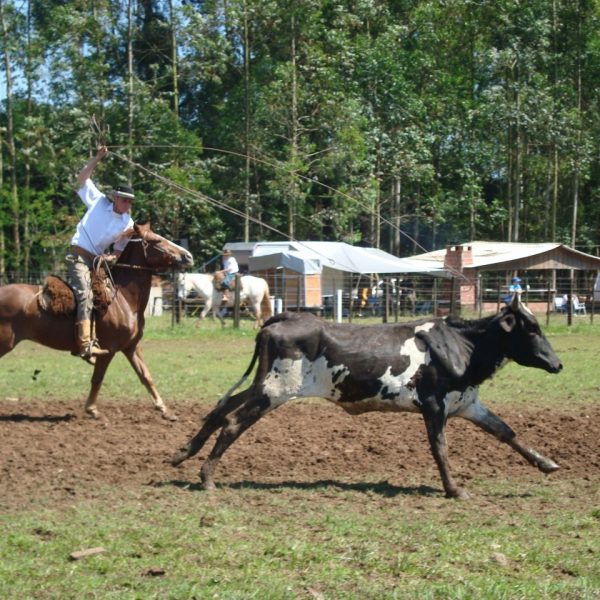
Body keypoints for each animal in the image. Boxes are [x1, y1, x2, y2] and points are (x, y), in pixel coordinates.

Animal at [0, 221, 192, 422]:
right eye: (156, 240)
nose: (188, 256)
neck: (122, 298)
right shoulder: (108, 350)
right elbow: (98, 378)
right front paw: (92, 409)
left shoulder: (131, 346)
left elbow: (146, 376)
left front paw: (165, 410)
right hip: (4, 342)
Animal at [173, 294, 564, 496]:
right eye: (532, 329)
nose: (557, 364)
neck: (462, 346)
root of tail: (284, 318)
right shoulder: (434, 406)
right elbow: (440, 448)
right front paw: (454, 489)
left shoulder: (467, 403)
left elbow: (505, 432)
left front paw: (546, 463)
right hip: (276, 390)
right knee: (233, 421)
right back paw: (206, 477)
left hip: (264, 385)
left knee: (221, 408)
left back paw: (183, 453)